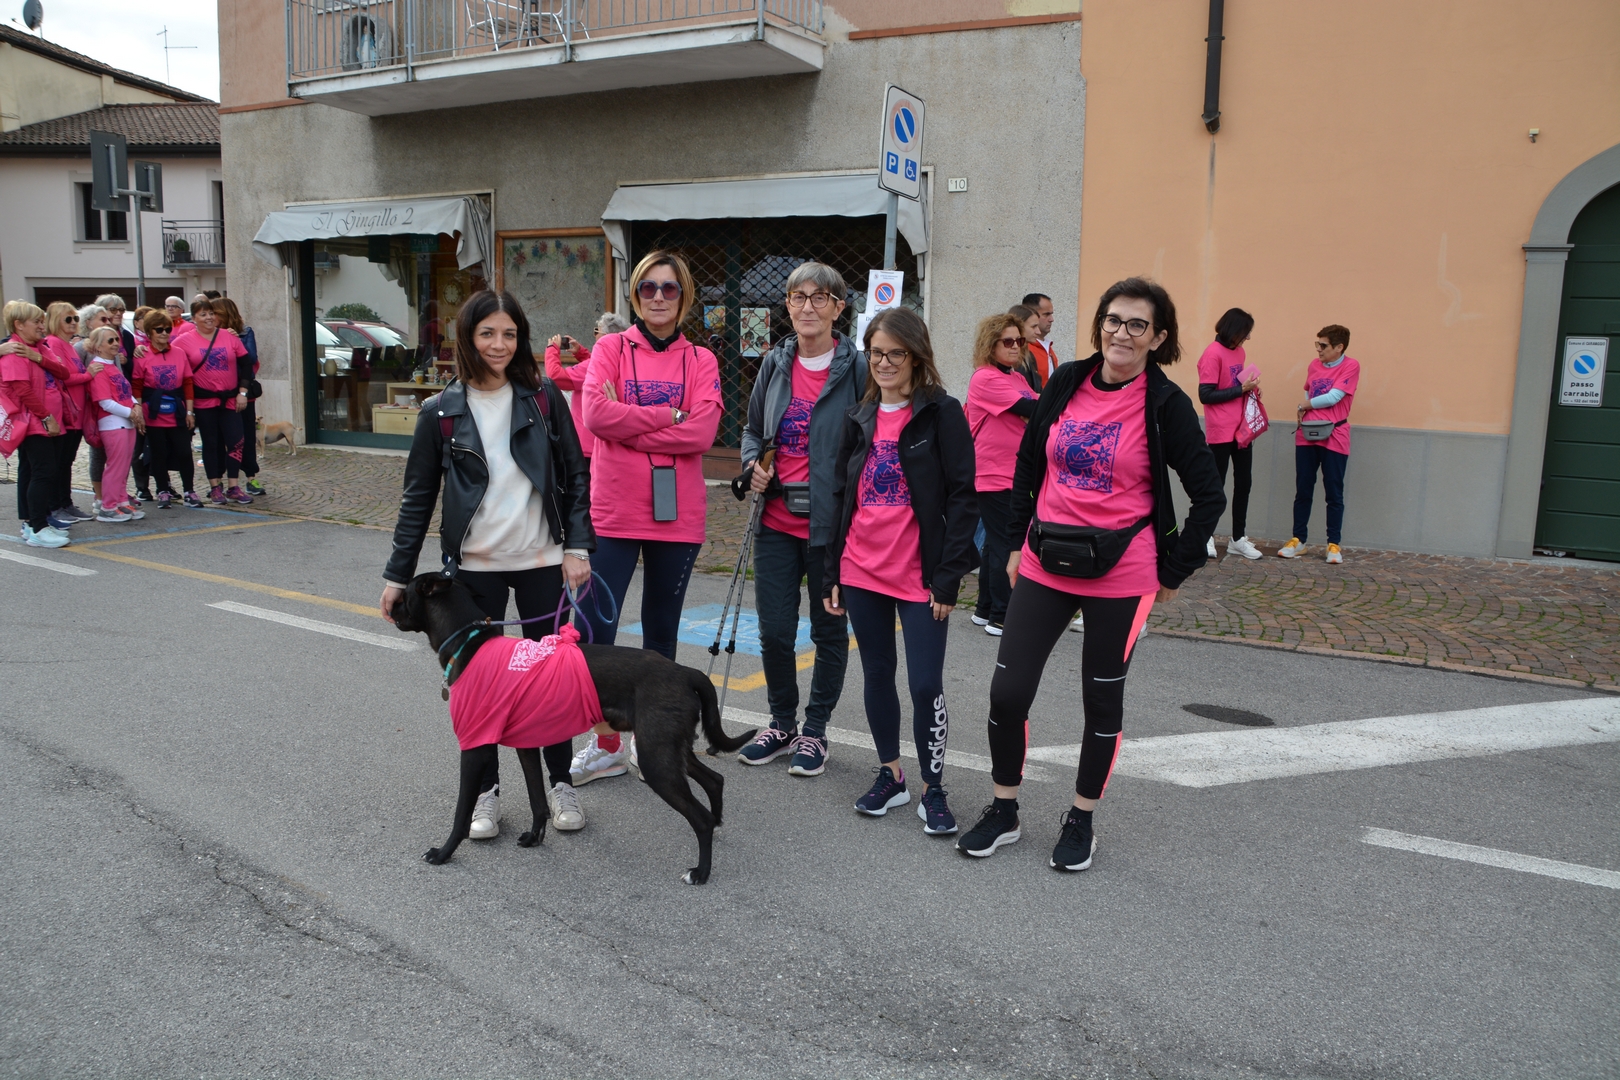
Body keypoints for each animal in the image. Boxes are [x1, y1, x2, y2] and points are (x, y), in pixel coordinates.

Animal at [392, 573, 758, 887]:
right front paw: (535, 837)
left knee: (700, 818)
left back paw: (701, 871)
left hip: (657, 759)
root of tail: (684, 671)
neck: (470, 644)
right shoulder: (526, 745)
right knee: (715, 779)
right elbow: (537, 800)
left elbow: (461, 813)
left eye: (406, 593)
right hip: (671, 749)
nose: (390, 605)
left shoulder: (475, 749)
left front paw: (443, 853)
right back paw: (718, 822)